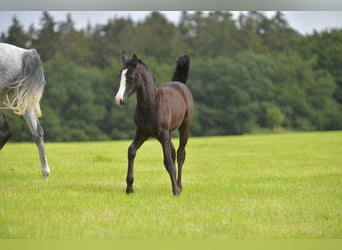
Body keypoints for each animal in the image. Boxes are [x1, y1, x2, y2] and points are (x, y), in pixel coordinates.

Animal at [115, 50, 194, 195]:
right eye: (120, 76)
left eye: (131, 77)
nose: (119, 99)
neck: (151, 104)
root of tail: (179, 84)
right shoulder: (142, 132)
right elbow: (131, 151)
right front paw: (129, 188)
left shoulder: (162, 133)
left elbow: (167, 160)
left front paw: (175, 191)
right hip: (167, 134)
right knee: (174, 152)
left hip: (184, 127)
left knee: (180, 153)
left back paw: (179, 185)